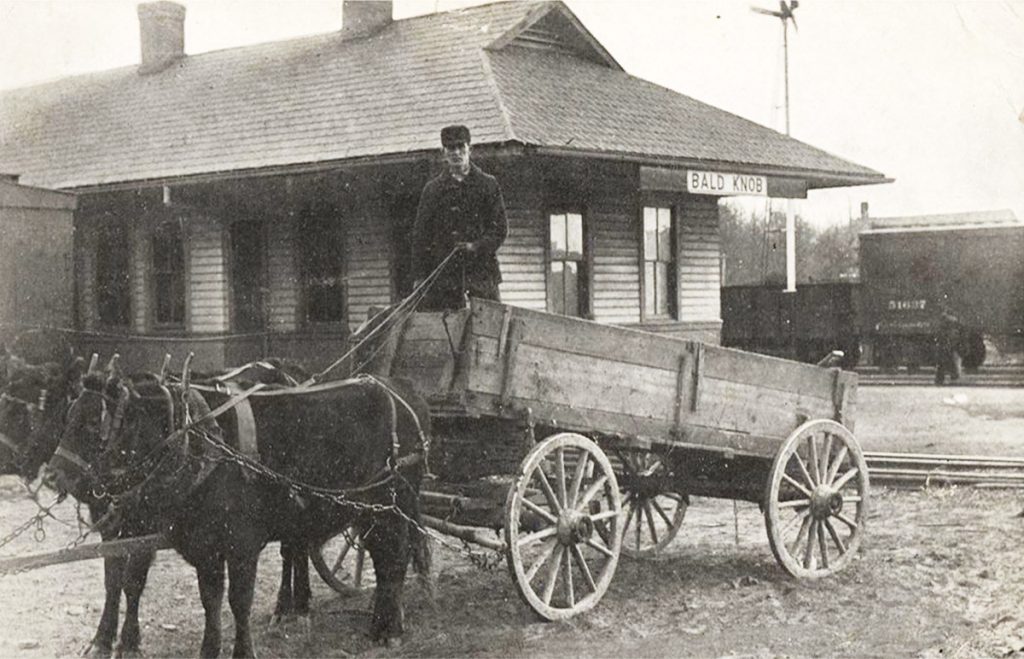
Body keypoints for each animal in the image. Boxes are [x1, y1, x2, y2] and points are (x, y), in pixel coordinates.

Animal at [48, 372, 428, 654]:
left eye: (91, 424)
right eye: (66, 417)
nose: (53, 475)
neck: (195, 442)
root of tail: (400, 390)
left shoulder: (241, 543)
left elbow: (238, 601)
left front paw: (243, 650)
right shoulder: (202, 545)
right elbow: (210, 600)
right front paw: (208, 649)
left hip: (393, 506)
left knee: (394, 559)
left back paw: (390, 628)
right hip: (369, 513)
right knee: (382, 559)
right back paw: (378, 621)